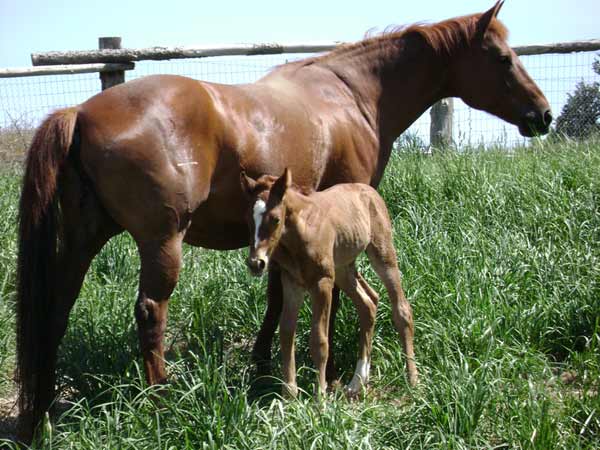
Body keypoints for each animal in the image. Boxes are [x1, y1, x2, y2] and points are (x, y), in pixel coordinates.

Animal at [241, 170, 414, 398]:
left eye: (276, 219)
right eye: (248, 220)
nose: (256, 263)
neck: (302, 232)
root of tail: (368, 190)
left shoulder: (322, 282)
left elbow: (320, 340)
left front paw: (320, 397)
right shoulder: (292, 282)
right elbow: (286, 333)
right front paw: (289, 395)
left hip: (382, 254)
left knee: (401, 308)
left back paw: (413, 380)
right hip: (342, 269)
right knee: (368, 302)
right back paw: (357, 382)